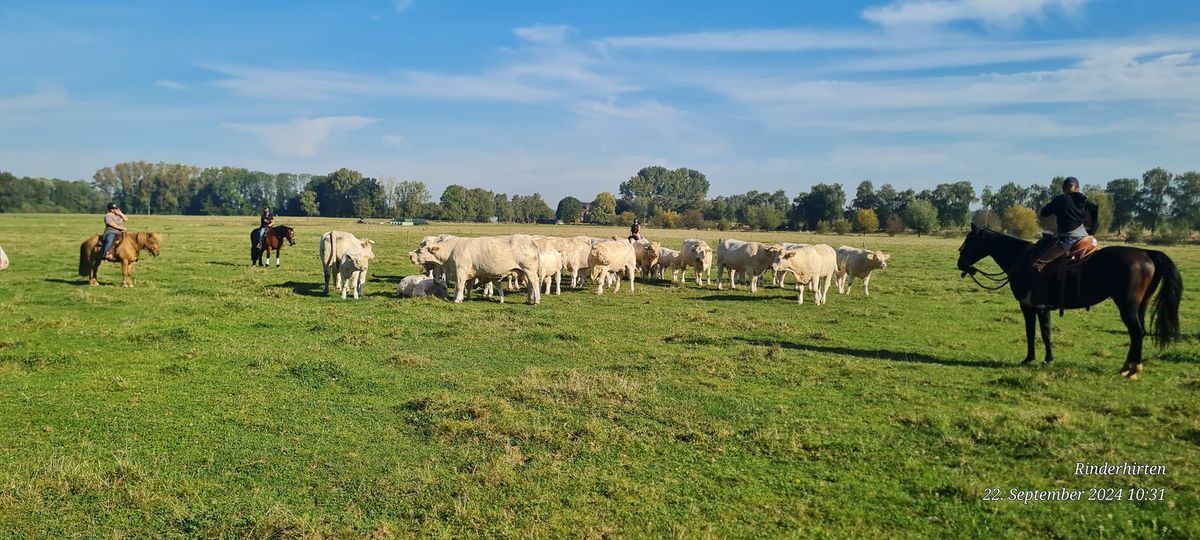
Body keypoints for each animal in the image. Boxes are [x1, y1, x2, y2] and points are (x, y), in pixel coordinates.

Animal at [955, 223, 1180, 379]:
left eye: (969, 240)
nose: (960, 264)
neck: (1021, 259)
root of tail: (1146, 253)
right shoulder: (1039, 308)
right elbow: (1042, 332)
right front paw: (1044, 359)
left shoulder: (1030, 306)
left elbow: (1035, 332)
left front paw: (1033, 359)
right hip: (1141, 305)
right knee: (1138, 333)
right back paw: (1130, 367)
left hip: (1127, 306)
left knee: (1137, 332)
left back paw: (1131, 369)